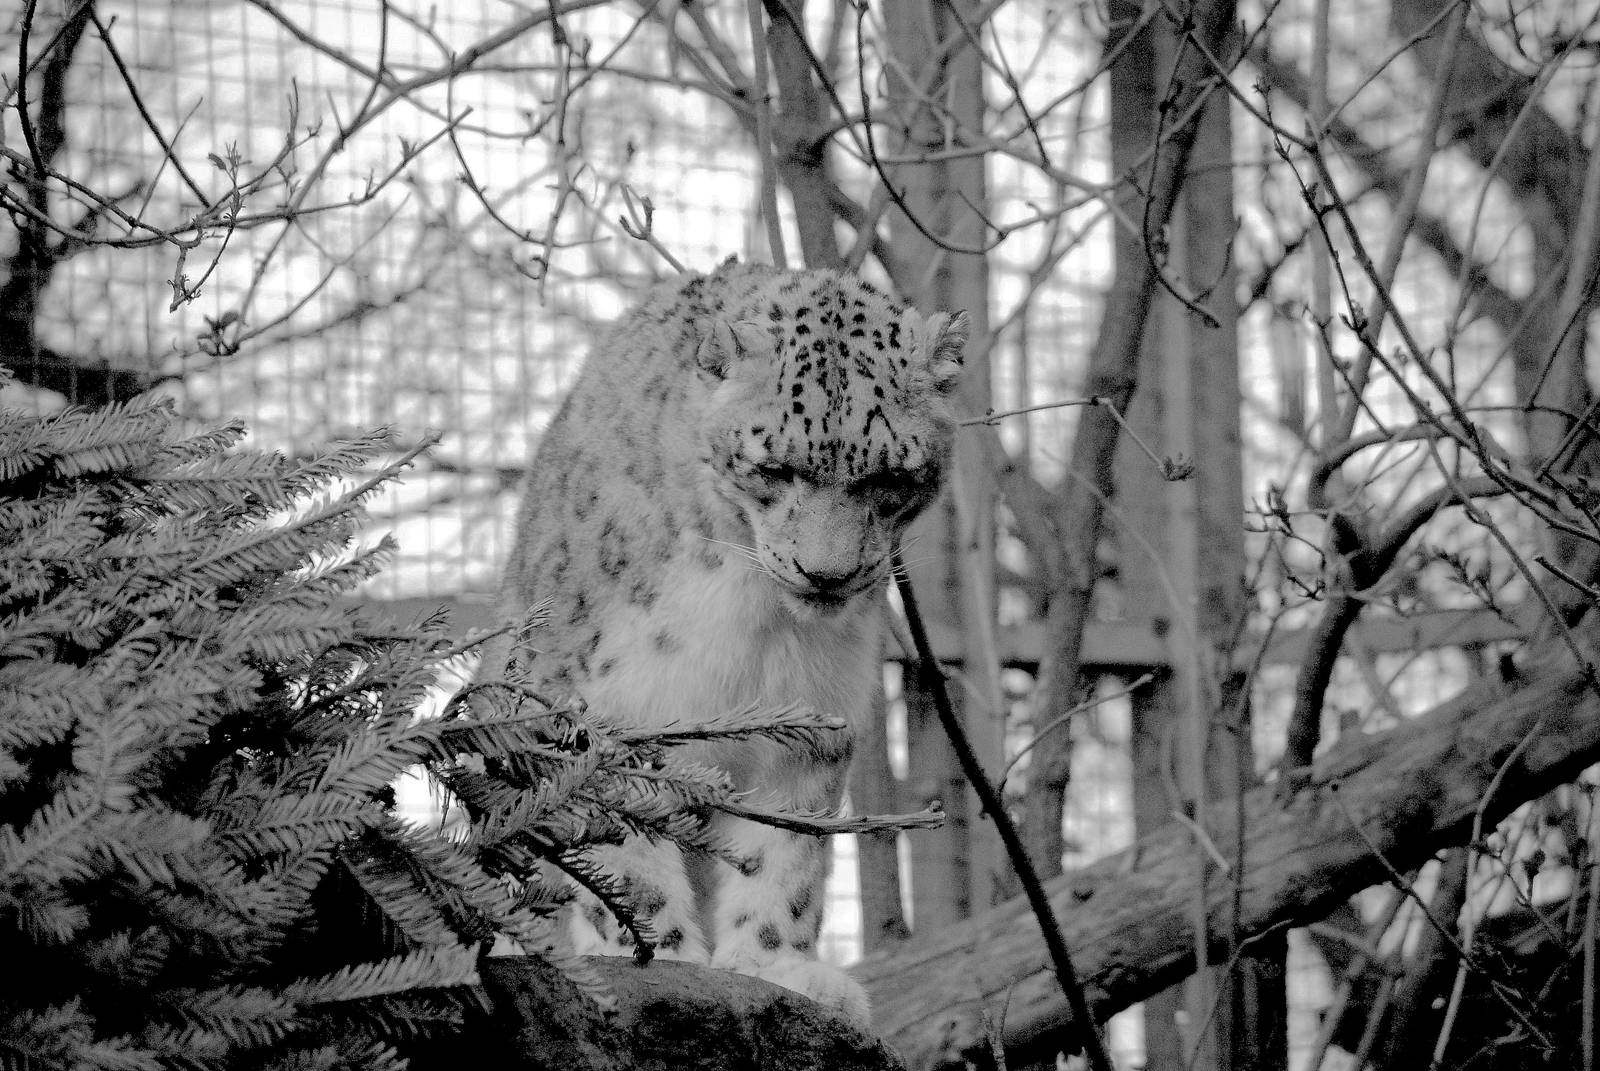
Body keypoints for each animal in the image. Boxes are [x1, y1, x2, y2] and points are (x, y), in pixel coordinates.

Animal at [493, 258, 967, 1027]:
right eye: (776, 468)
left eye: (890, 476)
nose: (826, 573)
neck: (755, 619)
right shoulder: (610, 707)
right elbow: (621, 849)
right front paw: (660, 956)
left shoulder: (812, 720)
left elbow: (784, 853)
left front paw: (772, 966)